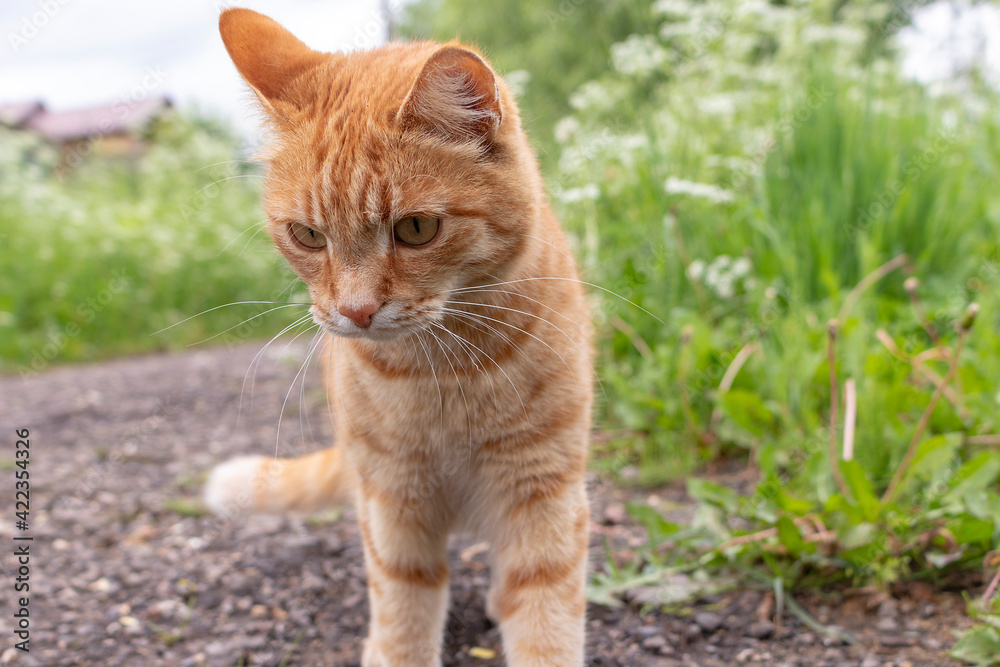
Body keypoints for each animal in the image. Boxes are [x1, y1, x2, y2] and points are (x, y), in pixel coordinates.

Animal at [205, 7, 592, 664]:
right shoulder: (391, 504)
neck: (448, 372)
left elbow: (545, 614)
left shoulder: (543, 488)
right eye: (307, 235)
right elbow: (403, 608)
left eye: (415, 229)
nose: (356, 311)